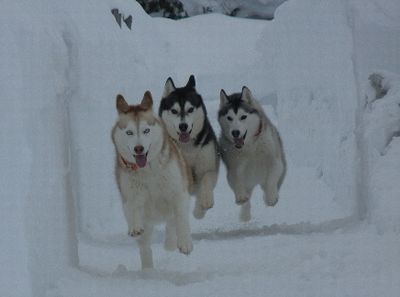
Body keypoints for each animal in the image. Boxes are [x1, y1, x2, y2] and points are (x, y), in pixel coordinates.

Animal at [111, 91, 193, 268]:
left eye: (146, 130)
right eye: (129, 132)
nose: (139, 148)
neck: (147, 171)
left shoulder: (179, 192)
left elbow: (181, 218)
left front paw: (184, 243)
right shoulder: (130, 195)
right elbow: (133, 208)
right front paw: (135, 227)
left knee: (171, 222)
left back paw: (170, 243)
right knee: (145, 245)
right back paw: (148, 268)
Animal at [159, 74, 219, 217]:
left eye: (190, 109)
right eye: (174, 111)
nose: (183, 126)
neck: (187, 149)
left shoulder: (209, 166)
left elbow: (206, 179)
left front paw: (205, 201)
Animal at [217, 86, 286, 221]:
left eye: (243, 117)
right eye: (229, 118)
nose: (235, 132)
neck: (250, 146)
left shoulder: (274, 160)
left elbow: (272, 178)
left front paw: (270, 198)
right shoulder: (233, 165)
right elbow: (235, 178)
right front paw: (241, 198)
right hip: (248, 181)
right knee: (248, 194)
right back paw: (245, 214)